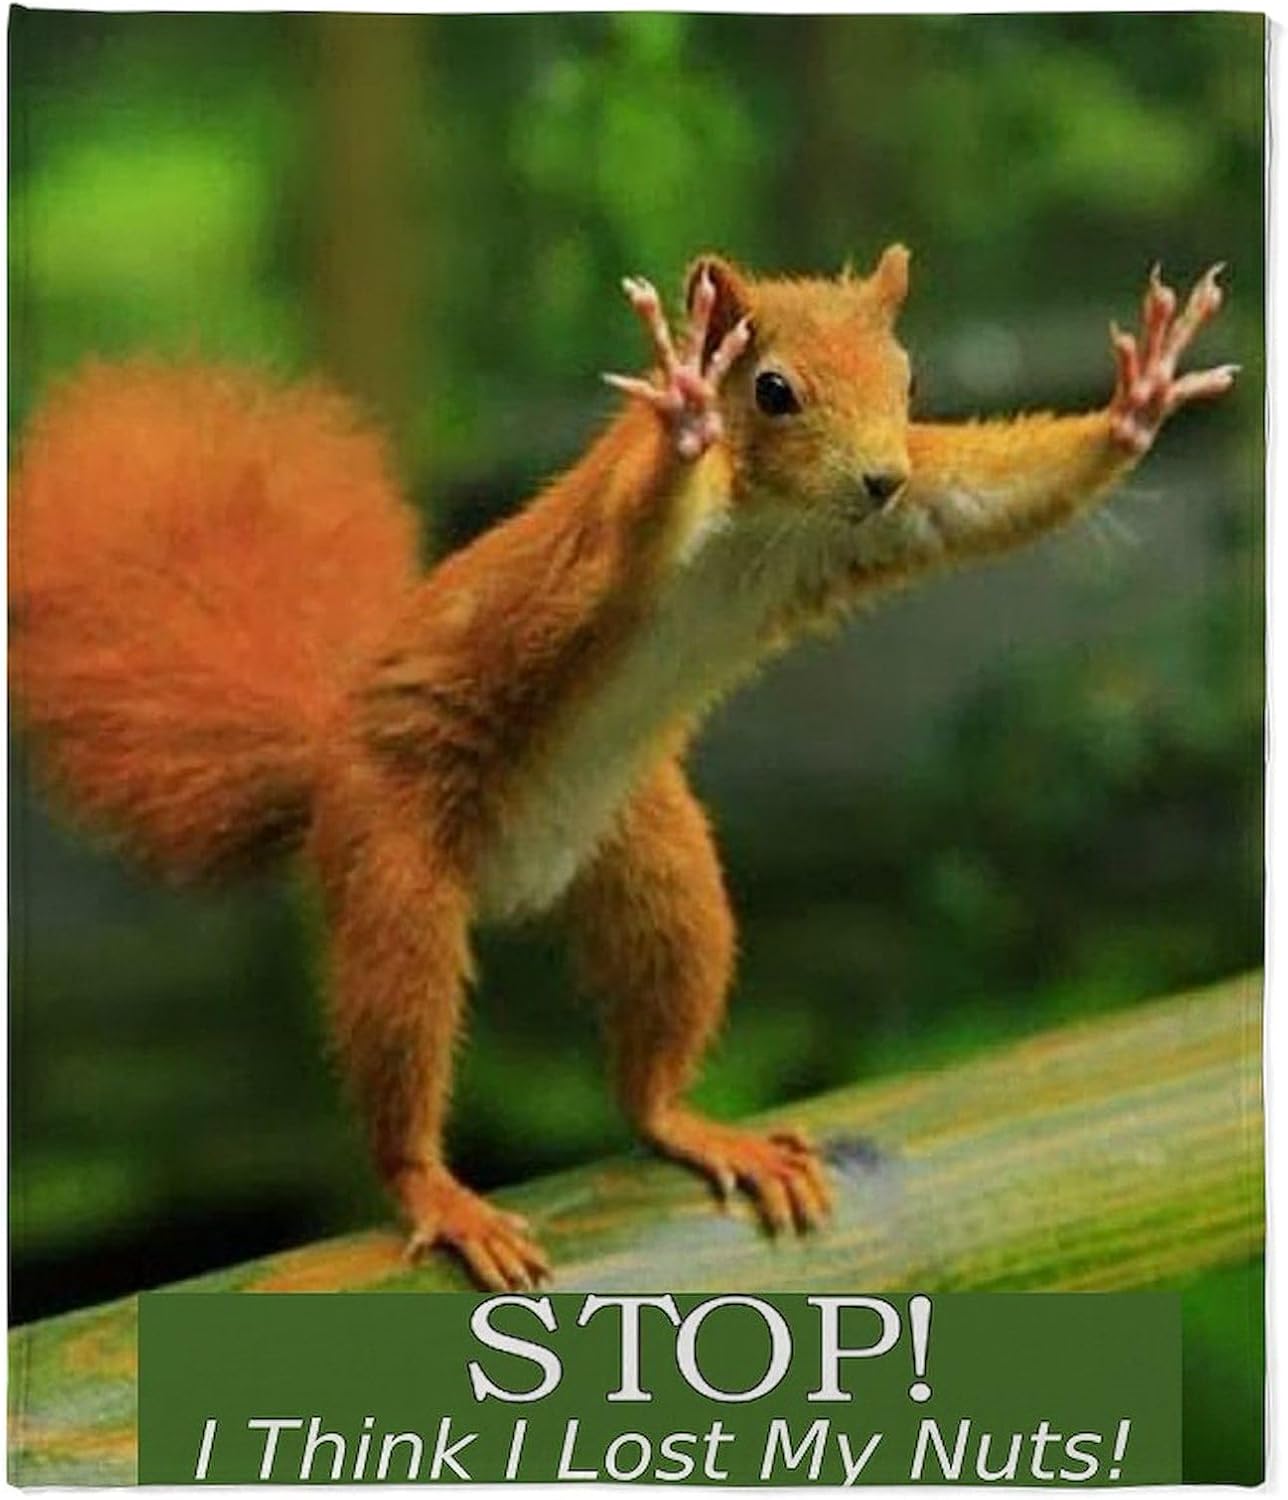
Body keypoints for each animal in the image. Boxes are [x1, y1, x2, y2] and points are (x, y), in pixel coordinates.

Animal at [9, 248, 1235, 1290]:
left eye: (908, 375)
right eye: (772, 390)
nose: (880, 477)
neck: (766, 523)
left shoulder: (885, 522)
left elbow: (988, 498)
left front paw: (1140, 400)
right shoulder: (602, 541)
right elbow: (627, 533)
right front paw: (685, 408)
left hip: (654, 863)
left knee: (650, 1047)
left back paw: (692, 1124)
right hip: (393, 861)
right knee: (399, 1039)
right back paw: (438, 1191)